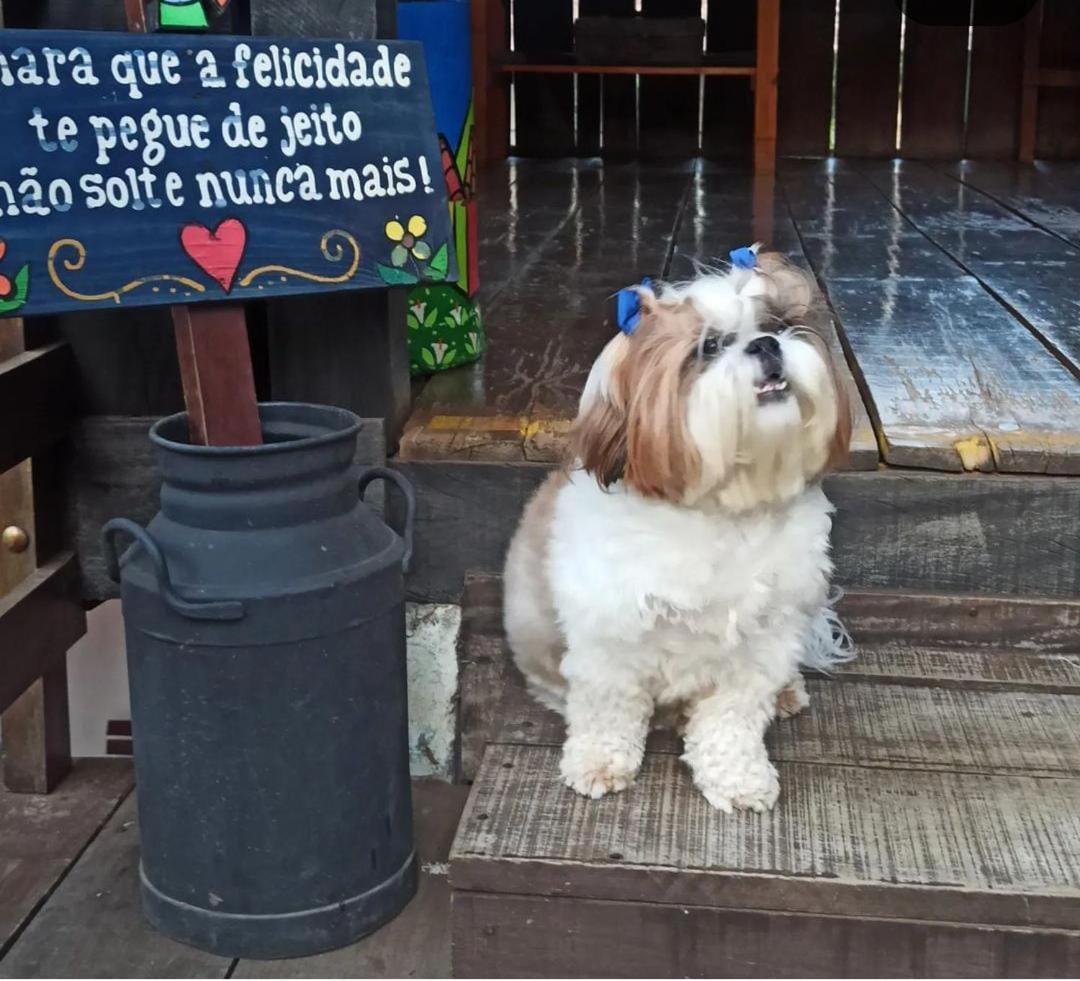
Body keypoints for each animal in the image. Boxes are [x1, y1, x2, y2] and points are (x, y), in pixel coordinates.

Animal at [503, 247, 851, 812]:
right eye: (708, 346)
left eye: (779, 324)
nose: (766, 344)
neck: (722, 510)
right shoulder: (610, 641)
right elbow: (608, 709)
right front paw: (598, 762)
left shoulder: (760, 646)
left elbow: (731, 722)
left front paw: (737, 779)